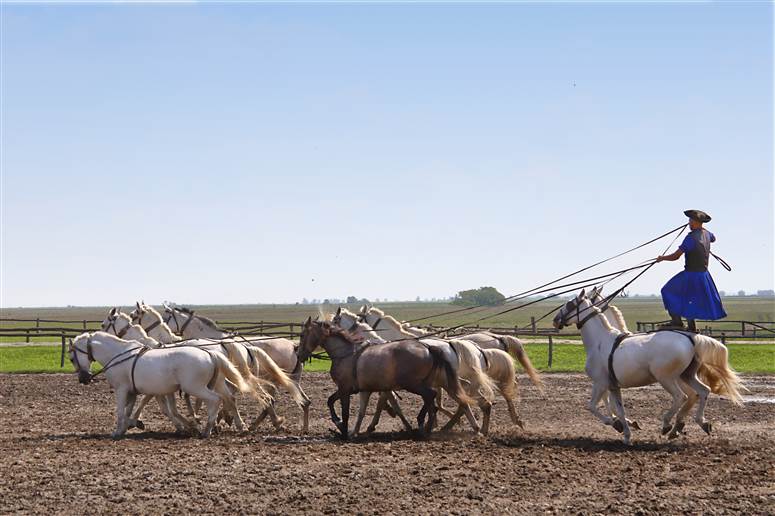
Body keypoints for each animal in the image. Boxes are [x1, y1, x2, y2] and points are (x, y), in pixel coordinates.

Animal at [69, 332, 266, 438]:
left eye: (72, 357)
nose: (83, 378)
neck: (119, 354)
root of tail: (210, 353)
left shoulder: (122, 389)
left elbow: (121, 410)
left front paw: (117, 432)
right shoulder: (135, 392)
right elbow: (130, 410)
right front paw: (126, 427)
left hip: (195, 388)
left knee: (215, 400)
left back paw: (207, 429)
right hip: (216, 384)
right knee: (229, 398)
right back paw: (234, 426)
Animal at [300, 318, 476, 440]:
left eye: (303, 335)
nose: (300, 354)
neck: (345, 354)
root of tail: (428, 347)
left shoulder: (345, 389)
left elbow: (344, 411)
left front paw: (342, 428)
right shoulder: (358, 390)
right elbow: (337, 403)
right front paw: (347, 428)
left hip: (413, 384)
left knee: (430, 396)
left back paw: (424, 425)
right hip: (424, 383)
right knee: (431, 400)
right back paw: (426, 425)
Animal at [552, 290, 744, 444]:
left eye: (569, 304)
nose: (555, 320)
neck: (600, 341)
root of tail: (691, 338)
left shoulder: (600, 384)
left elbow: (592, 407)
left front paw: (617, 425)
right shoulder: (613, 386)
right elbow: (619, 409)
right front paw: (626, 434)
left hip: (666, 378)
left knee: (681, 397)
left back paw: (668, 425)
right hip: (687, 375)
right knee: (702, 391)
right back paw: (698, 423)